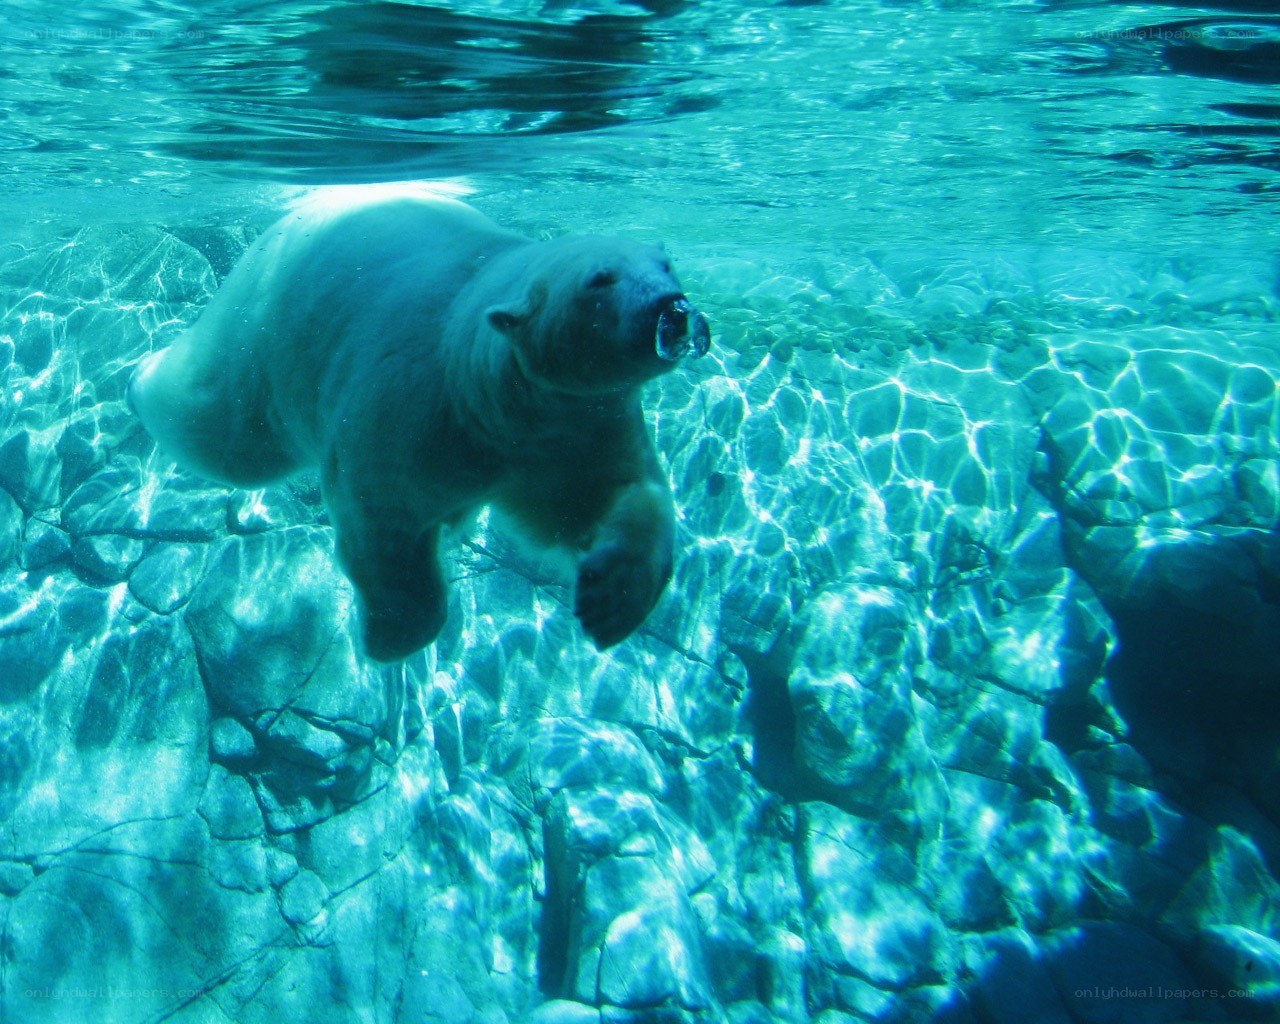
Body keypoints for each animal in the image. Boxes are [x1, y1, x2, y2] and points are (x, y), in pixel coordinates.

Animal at [128, 187, 710, 662]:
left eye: (667, 264)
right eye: (600, 280)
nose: (673, 308)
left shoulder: (574, 427)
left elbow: (607, 494)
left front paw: (610, 597)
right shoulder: (413, 405)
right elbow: (383, 518)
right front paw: (391, 636)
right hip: (264, 336)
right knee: (224, 432)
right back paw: (137, 379)